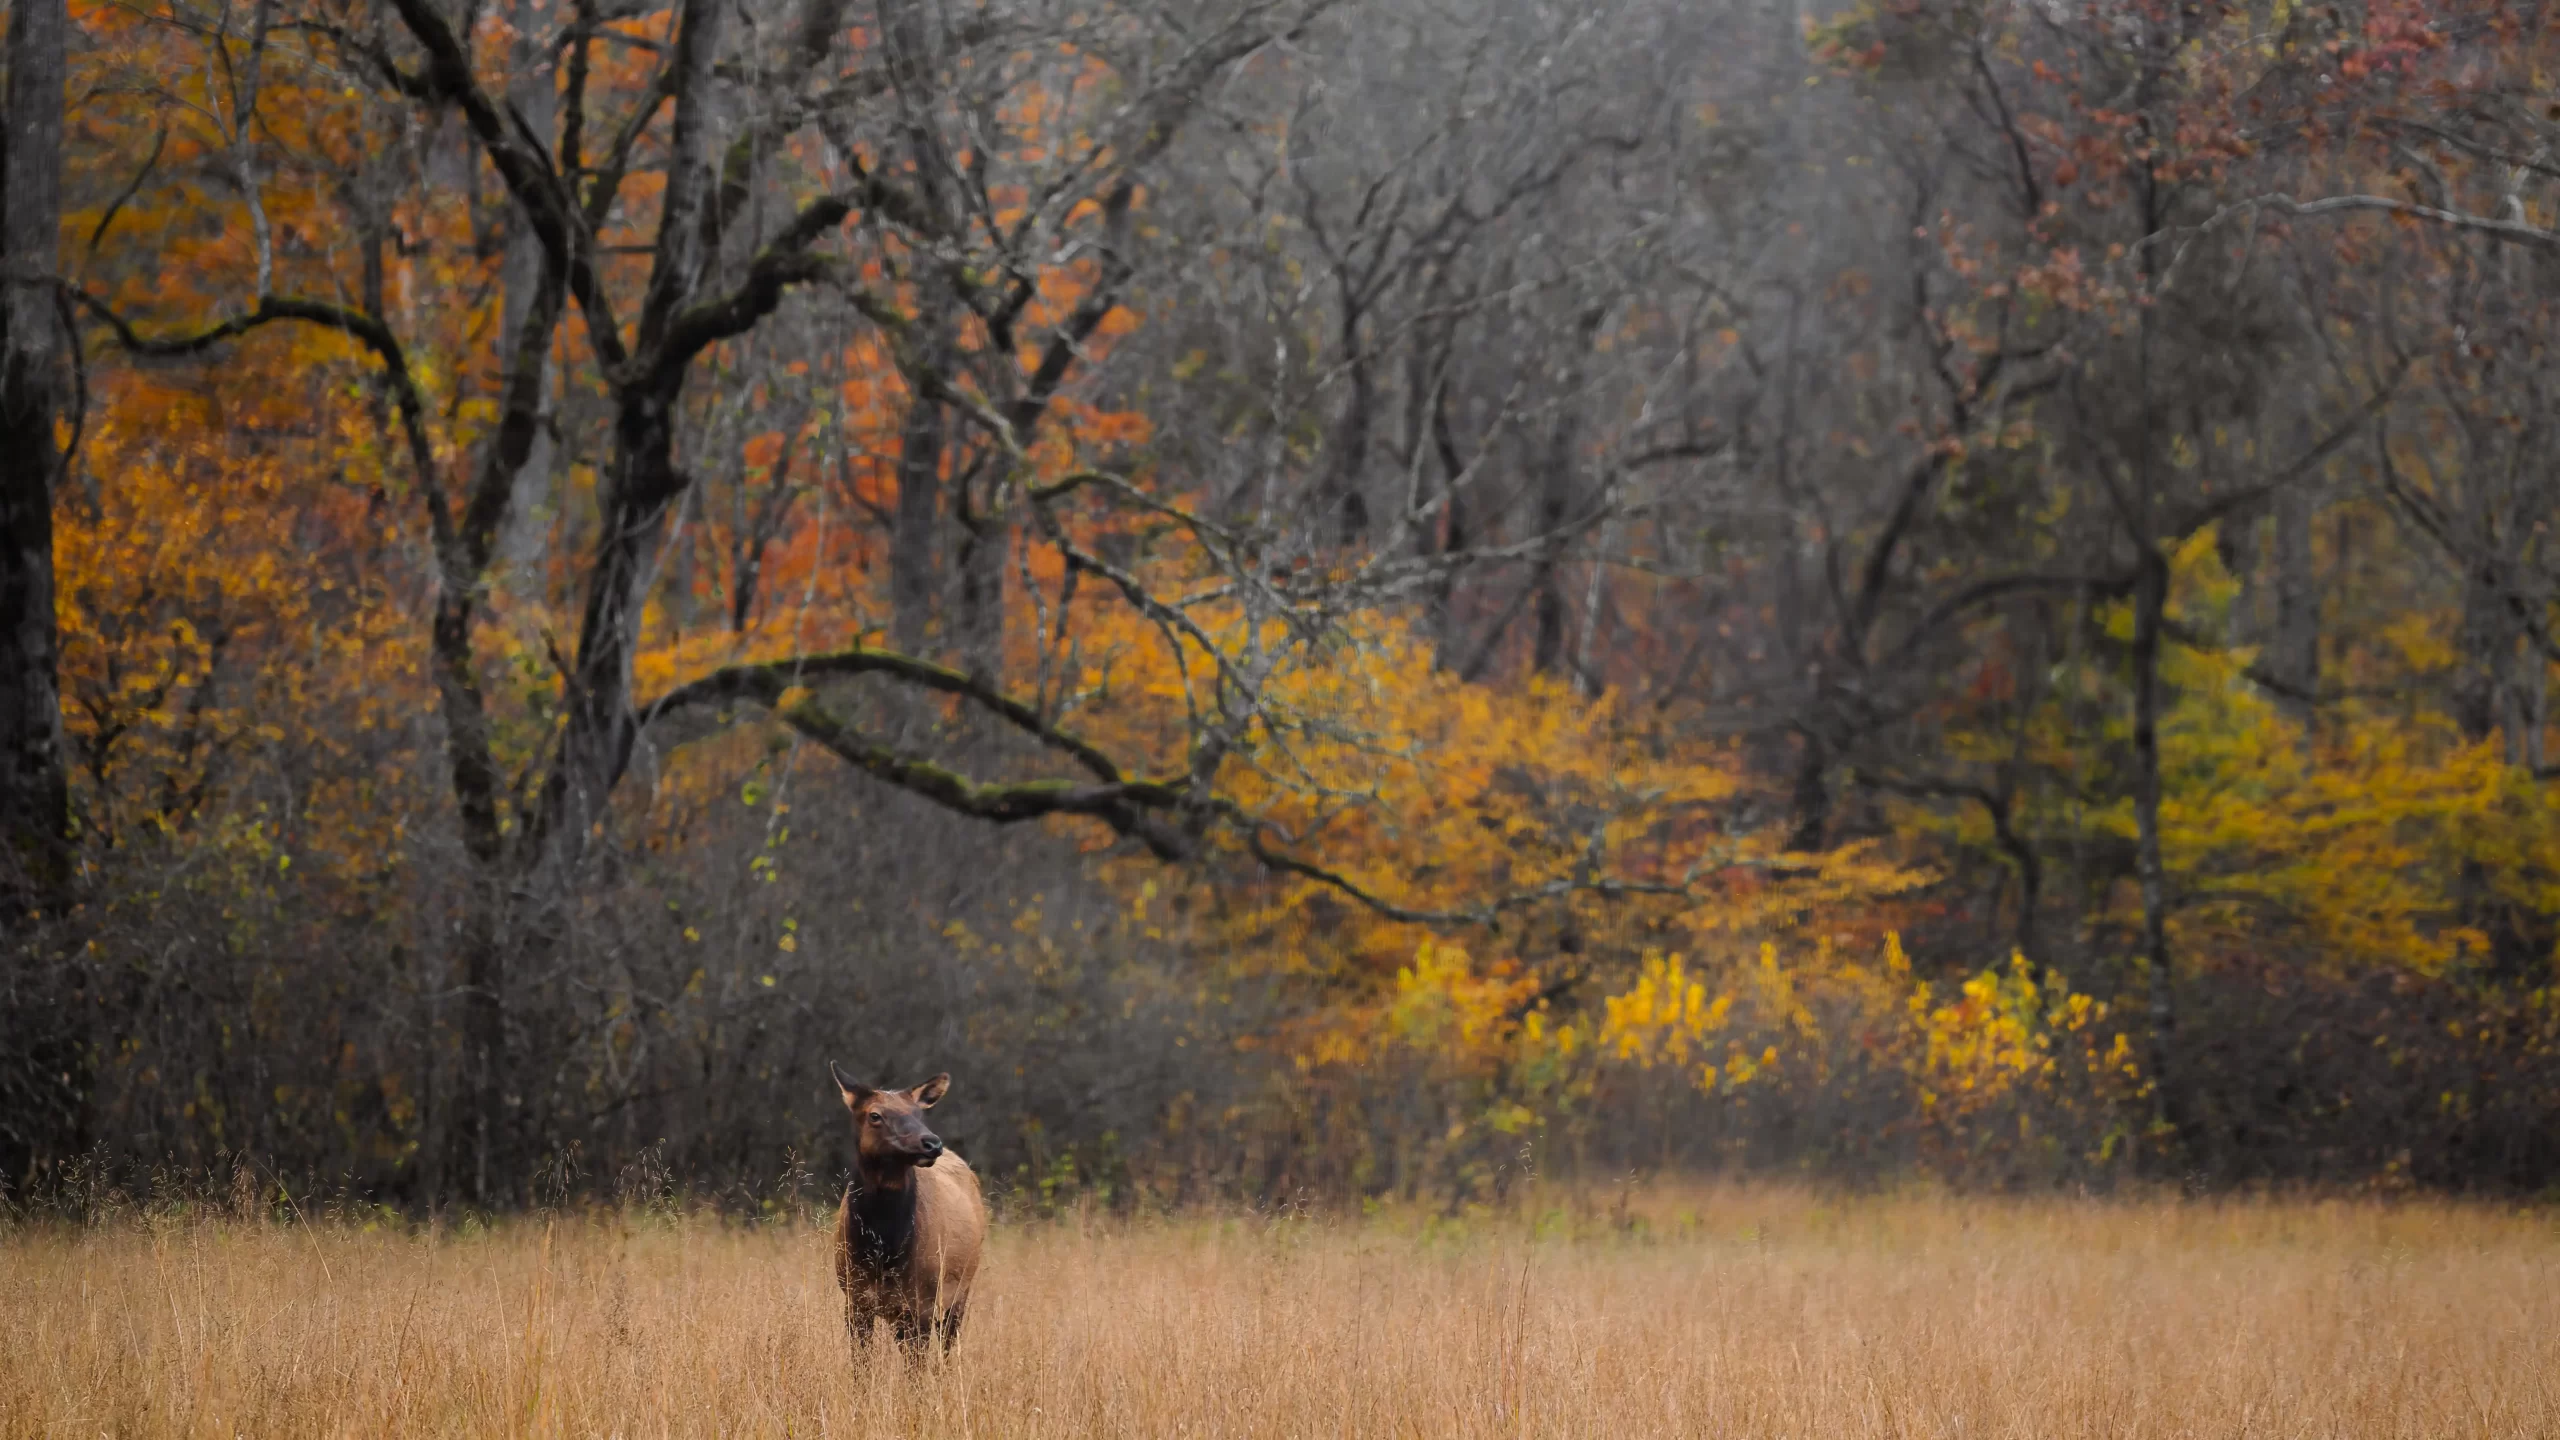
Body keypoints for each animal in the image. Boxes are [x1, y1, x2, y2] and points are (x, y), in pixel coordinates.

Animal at [830, 1062, 987, 1350]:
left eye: (918, 1113)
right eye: (875, 1115)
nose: (932, 1143)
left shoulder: (920, 1303)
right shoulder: (854, 1298)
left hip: (960, 1290)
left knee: (947, 1344)